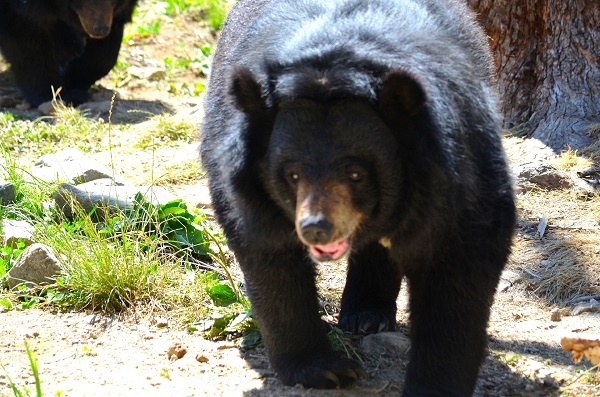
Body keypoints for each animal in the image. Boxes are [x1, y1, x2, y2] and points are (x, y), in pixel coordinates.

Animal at [202, 0, 516, 392]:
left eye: (355, 173)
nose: (316, 227)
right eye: (292, 174)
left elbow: (459, 268)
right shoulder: (246, 186)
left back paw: (367, 316)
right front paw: (326, 370)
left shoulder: (459, 168)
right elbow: (268, 255)